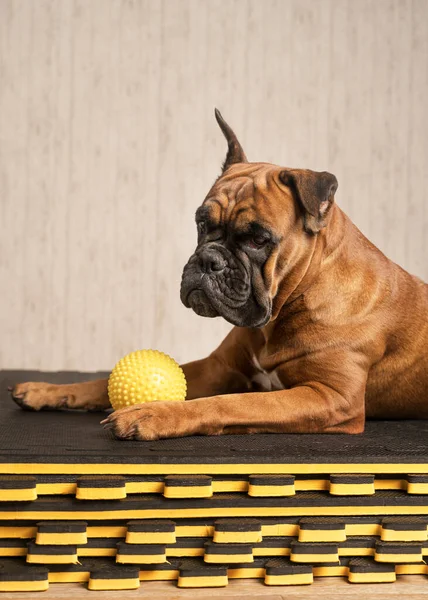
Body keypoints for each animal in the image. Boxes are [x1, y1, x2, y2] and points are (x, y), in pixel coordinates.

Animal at [10, 110, 428, 438]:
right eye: (201, 223)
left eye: (258, 239)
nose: (208, 260)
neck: (295, 295)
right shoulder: (217, 368)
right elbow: (102, 381)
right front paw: (47, 390)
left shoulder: (330, 397)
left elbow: (231, 403)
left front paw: (153, 413)